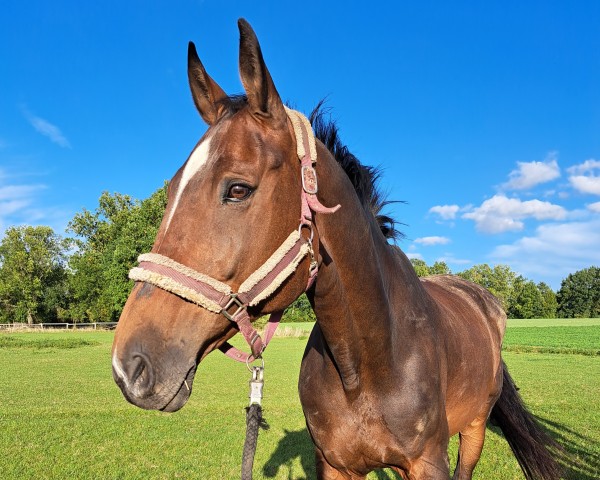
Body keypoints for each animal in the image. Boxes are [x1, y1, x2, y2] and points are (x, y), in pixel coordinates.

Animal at [111, 18, 564, 480]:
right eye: (170, 190)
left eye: (238, 189)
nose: (129, 367)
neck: (368, 363)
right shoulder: (333, 463)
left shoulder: (427, 463)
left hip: (473, 429)